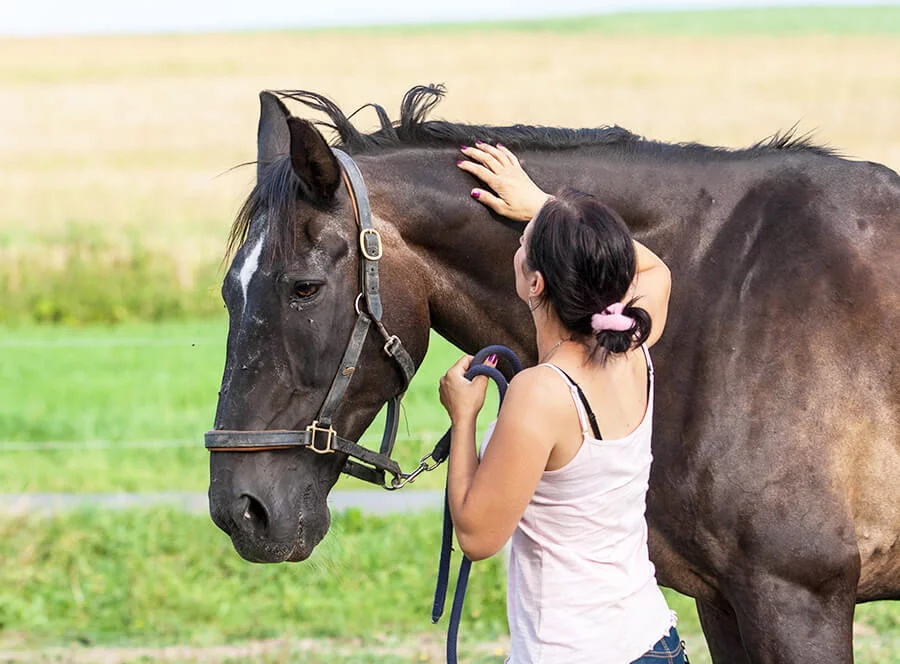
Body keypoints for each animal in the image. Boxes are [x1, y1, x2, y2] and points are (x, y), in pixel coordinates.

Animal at [206, 85, 900, 660]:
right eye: (228, 293)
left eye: (304, 287)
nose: (240, 511)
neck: (729, 292)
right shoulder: (723, 602)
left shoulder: (795, 599)